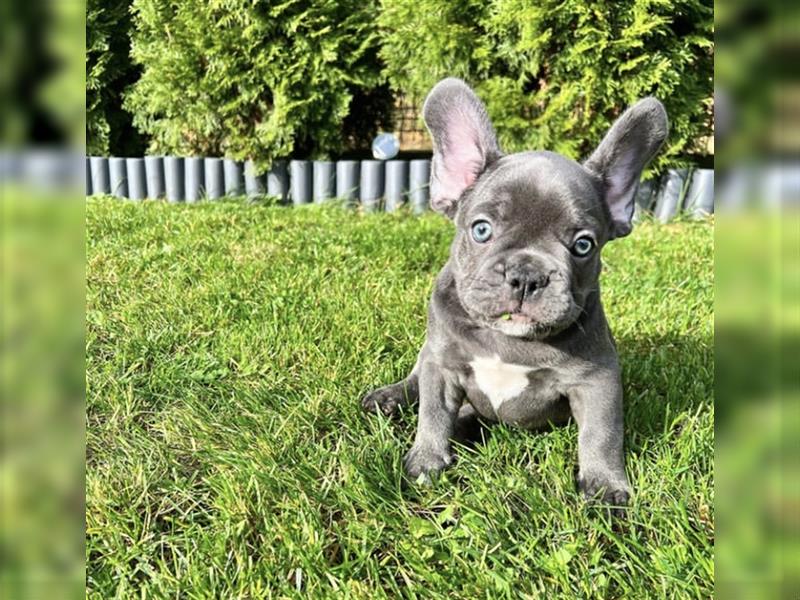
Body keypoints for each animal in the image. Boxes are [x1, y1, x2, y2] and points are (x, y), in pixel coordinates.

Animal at [362, 77, 668, 504]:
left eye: (583, 245)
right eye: (481, 229)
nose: (527, 275)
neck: (507, 340)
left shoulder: (597, 381)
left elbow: (602, 434)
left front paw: (605, 486)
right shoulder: (442, 366)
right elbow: (433, 414)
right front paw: (426, 461)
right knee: (416, 378)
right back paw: (391, 398)